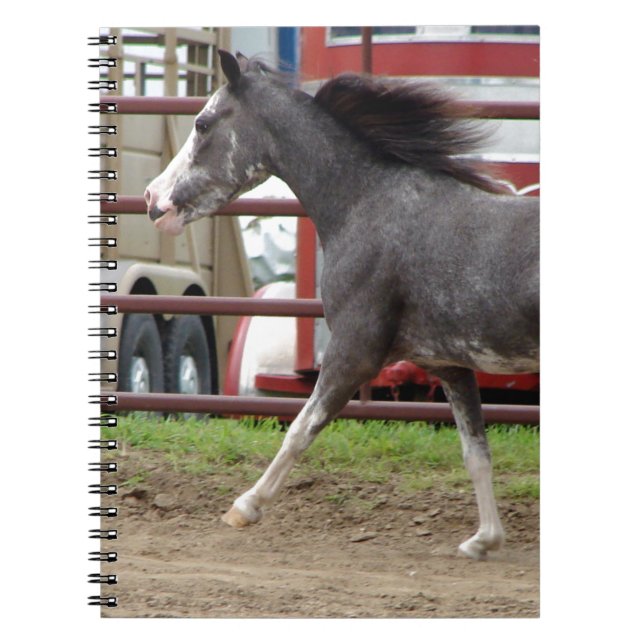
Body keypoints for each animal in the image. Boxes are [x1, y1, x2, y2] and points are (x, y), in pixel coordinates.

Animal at [144, 50, 539, 560]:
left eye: (203, 123)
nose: (153, 201)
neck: (366, 205)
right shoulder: (451, 366)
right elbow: (476, 453)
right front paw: (483, 540)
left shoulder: (354, 352)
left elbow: (300, 428)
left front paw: (244, 507)